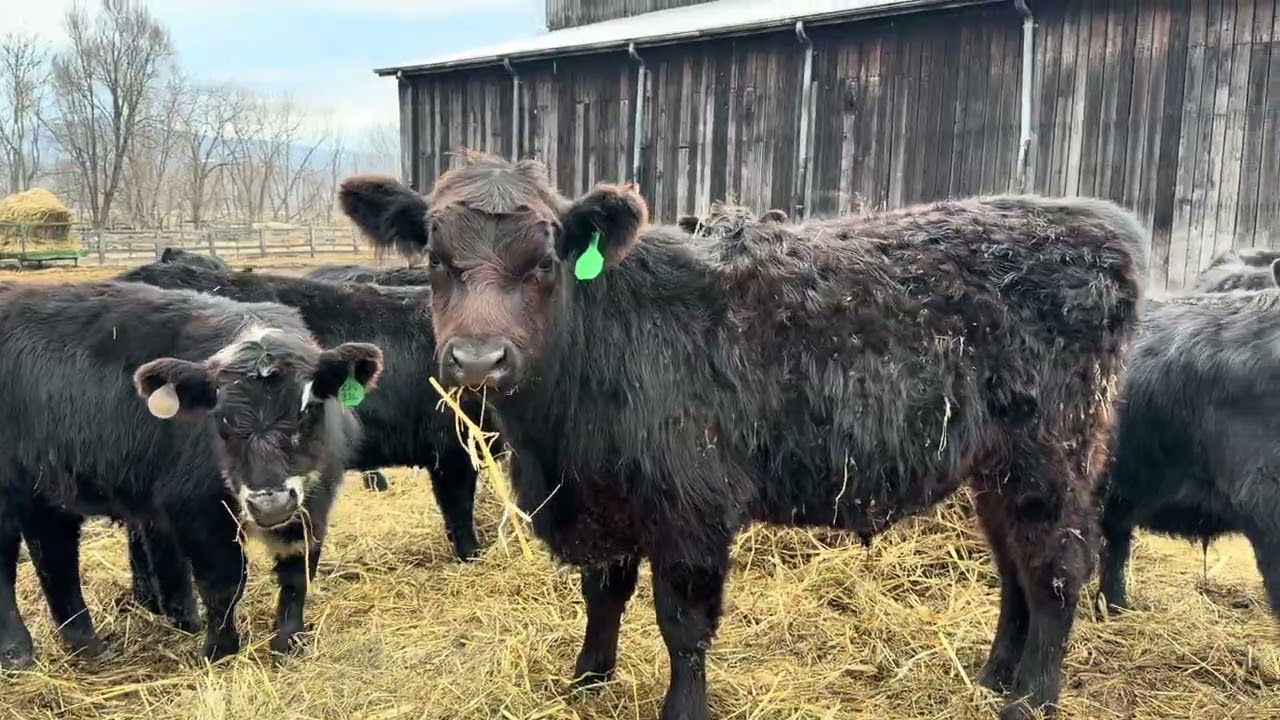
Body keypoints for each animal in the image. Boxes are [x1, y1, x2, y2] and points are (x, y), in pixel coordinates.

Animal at [0, 280, 381, 670]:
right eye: (222, 417)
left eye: (305, 409)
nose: (269, 503)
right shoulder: (197, 512)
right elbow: (223, 583)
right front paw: (220, 650)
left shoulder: (313, 506)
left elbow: (297, 575)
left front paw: (287, 642)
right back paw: (18, 651)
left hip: (46, 493)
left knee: (54, 555)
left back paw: (86, 645)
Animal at [335, 150, 1148, 720]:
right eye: (436, 260)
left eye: (543, 262)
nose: (478, 358)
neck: (557, 442)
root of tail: (1098, 226)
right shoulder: (605, 502)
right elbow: (603, 594)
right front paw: (587, 679)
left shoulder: (691, 507)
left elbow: (682, 623)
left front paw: (681, 707)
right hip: (995, 467)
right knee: (1014, 567)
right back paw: (992, 677)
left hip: (1051, 458)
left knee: (1056, 570)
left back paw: (1031, 698)